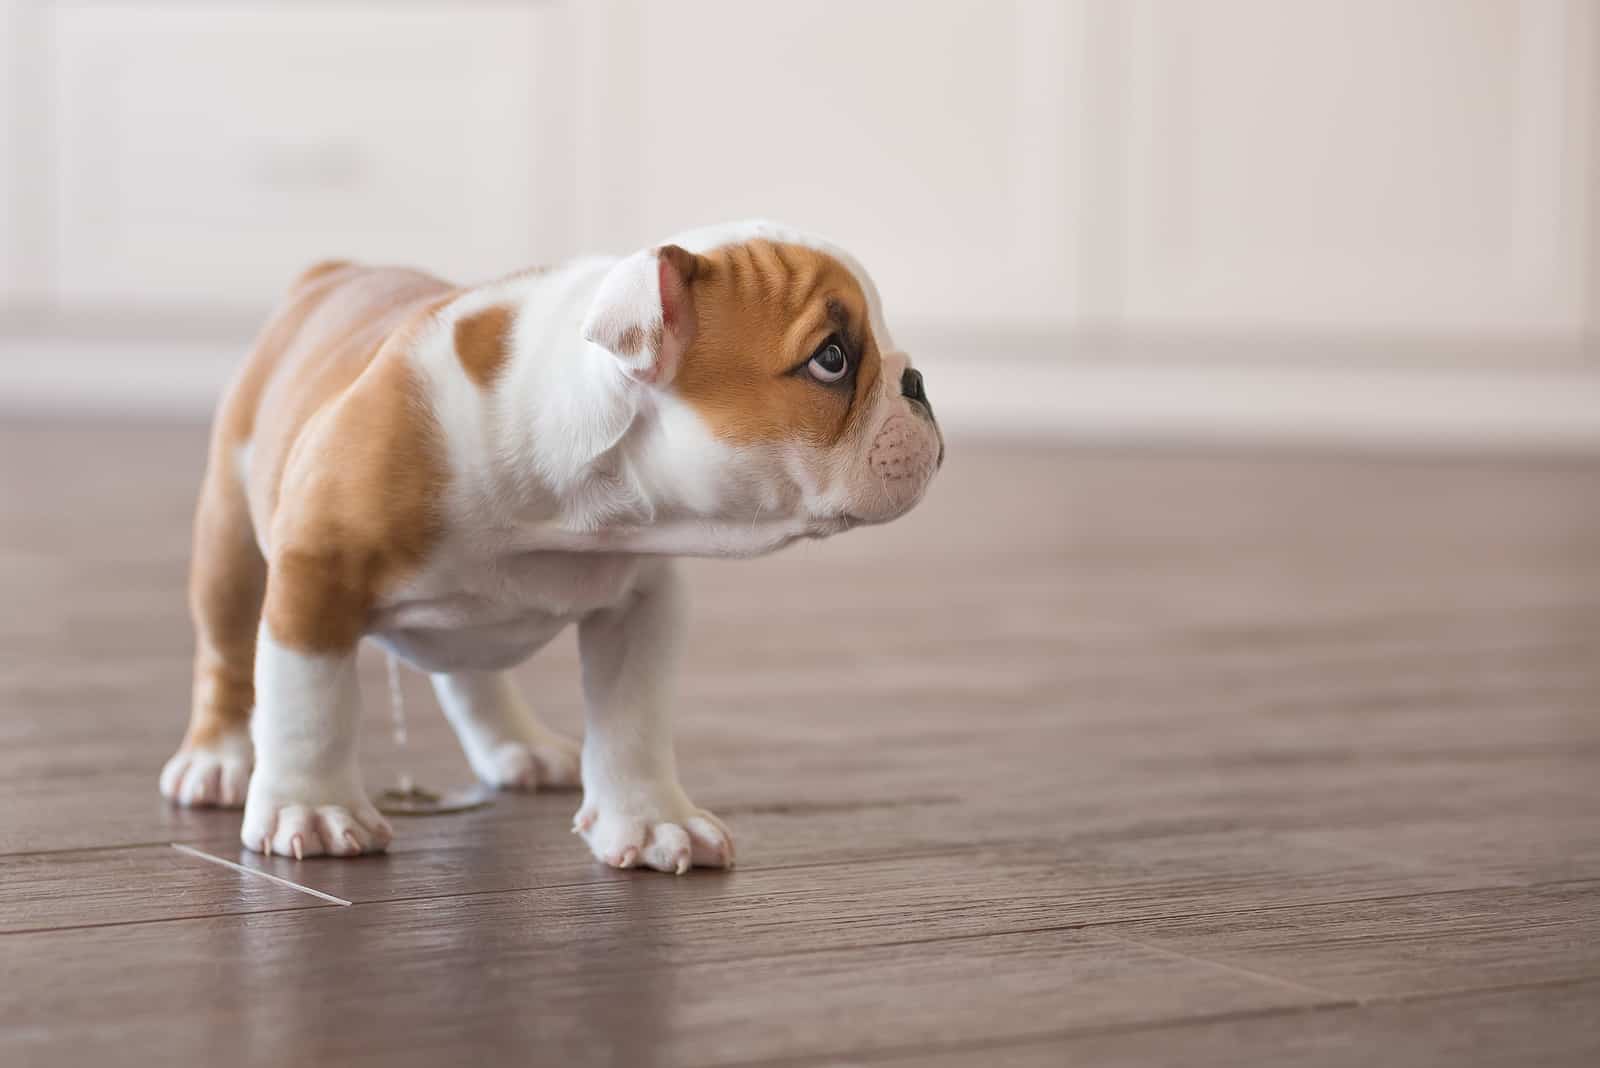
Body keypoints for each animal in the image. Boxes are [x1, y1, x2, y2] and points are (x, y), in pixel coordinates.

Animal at [159, 220, 934, 869]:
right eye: (831, 359)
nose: (918, 380)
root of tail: (330, 275)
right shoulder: (317, 572)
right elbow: (309, 703)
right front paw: (312, 809)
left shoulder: (643, 606)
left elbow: (633, 719)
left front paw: (652, 821)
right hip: (230, 541)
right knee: (227, 653)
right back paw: (218, 761)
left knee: (468, 670)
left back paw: (519, 747)